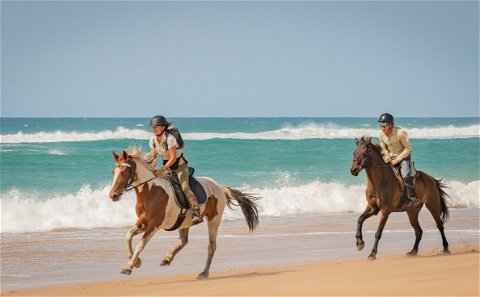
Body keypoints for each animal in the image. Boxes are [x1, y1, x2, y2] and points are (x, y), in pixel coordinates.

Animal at [109, 148, 260, 278]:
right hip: (184, 222)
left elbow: (141, 244)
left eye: (123, 172)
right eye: (113, 171)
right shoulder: (143, 222)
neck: (151, 191)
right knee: (183, 241)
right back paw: (167, 258)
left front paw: (128, 267)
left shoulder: (154, 224)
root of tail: (220, 187)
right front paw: (135, 260)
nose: (113, 195)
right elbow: (128, 236)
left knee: (211, 246)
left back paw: (204, 273)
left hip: (214, 220)